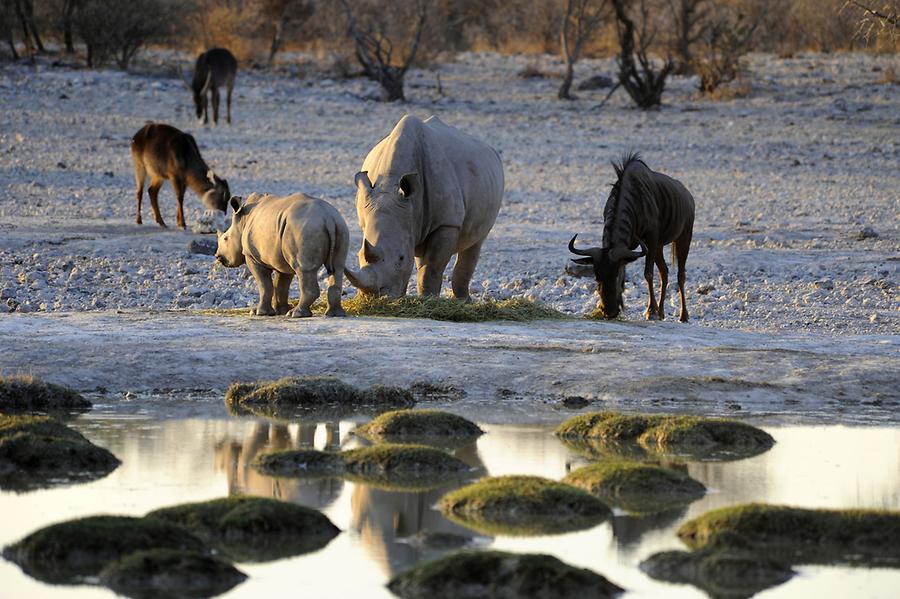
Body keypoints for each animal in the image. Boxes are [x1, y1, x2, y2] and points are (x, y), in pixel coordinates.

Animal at [568, 155, 696, 324]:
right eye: (596, 276)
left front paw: (650, 312)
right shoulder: (629, 247)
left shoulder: (651, 238)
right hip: (659, 247)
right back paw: (662, 313)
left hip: (684, 238)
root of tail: (688, 196)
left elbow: (648, 273)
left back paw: (683, 315)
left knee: (680, 275)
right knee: (664, 272)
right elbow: (627, 271)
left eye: (614, 275)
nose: (608, 311)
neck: (634, 200)